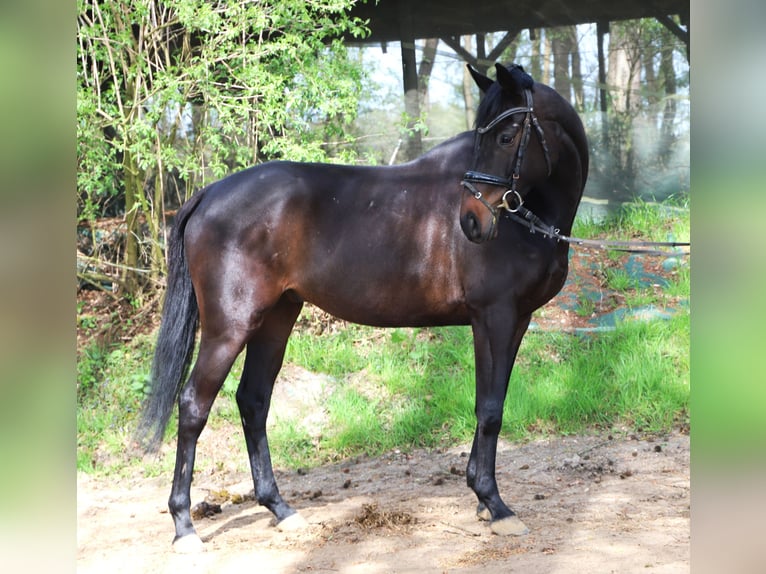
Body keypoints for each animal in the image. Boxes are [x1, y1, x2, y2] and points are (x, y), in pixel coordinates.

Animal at [138, 62, 589, 552]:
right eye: (486, 137)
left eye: (506, 137)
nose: (471, 222)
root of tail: (210, 194)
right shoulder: (494, 317)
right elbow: (489, 409)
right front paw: (496, 504)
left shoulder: (516, 320)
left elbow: (493, 403)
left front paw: (484, 502)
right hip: (230, 326)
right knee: (193, 406)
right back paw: (184, 526)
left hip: (277, 317)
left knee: (253, 401)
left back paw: (280, 509)